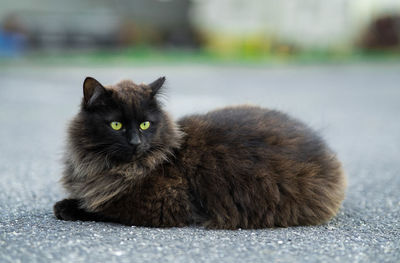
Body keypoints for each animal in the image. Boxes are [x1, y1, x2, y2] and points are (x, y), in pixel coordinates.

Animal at [54, 76, 346, 229]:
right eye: (116, 125)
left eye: (145, 124)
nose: (136, 142)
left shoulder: (163, 204)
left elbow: (103, 207)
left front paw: (68, 207)